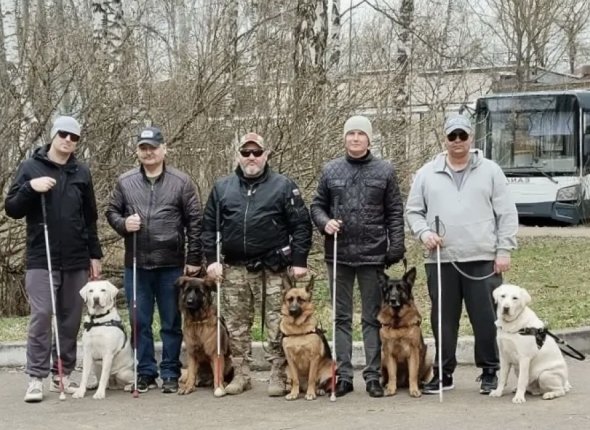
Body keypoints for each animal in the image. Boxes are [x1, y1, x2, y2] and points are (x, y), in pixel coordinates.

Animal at [377, 267, 433, 397]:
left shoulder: (413, 352)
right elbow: (392, 374)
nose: (392, 300)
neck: (398, 323)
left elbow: (413, 374)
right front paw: (391, 389)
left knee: (419, 376)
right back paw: (386, 384)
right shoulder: (389, 352)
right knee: (386, 377)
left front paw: (414, 390)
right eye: (388, 289)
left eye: (400, 288)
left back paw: (421, 384)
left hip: (428, 356)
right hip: (382, 356)